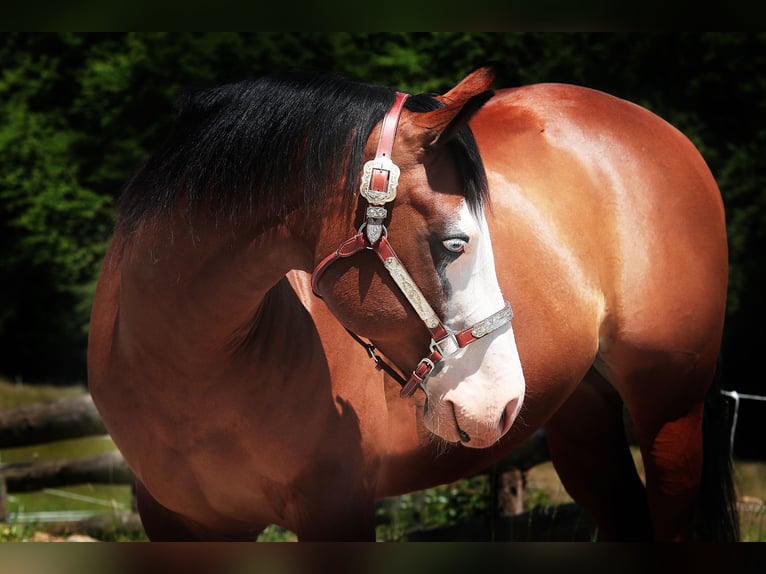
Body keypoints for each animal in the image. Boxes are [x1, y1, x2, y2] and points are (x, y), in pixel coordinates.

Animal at [87, 65, 740, 544]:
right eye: (455, 243)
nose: (502, 403)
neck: (189, 367)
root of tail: (659, 127)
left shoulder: (337, 508)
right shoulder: (178, 524)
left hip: (670, 410)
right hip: (583, 413)